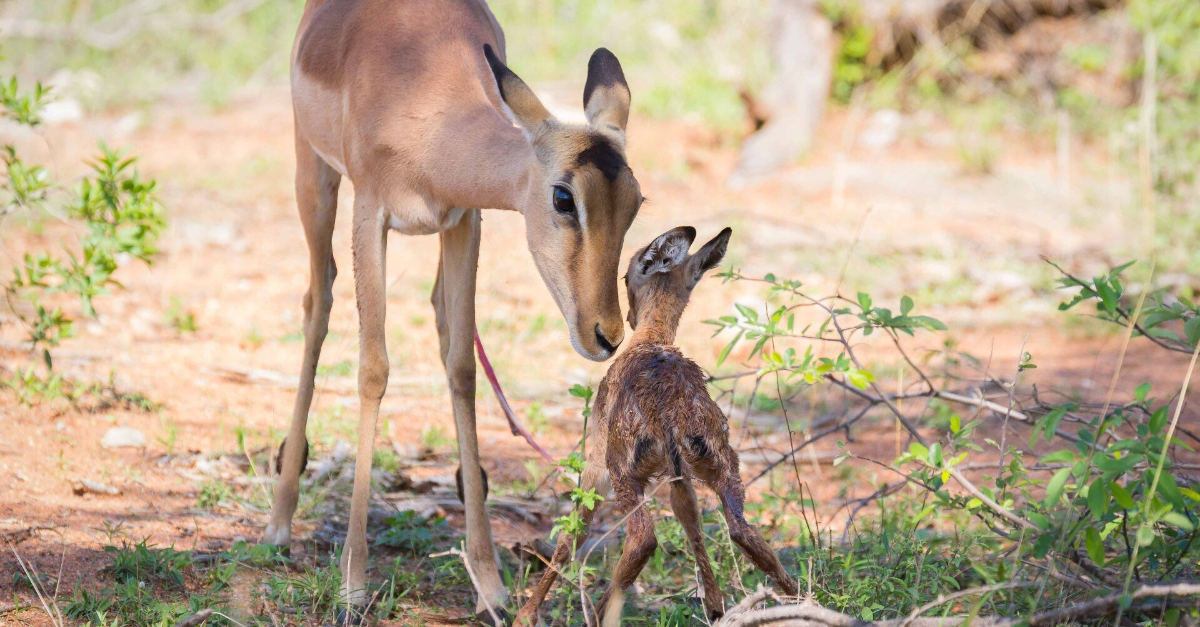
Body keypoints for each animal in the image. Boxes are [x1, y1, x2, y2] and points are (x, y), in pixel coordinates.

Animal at [516, 227, 796, 619]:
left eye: (624, 275)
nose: (628, 318)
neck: (651, 338)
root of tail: (670, 417)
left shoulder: (596, 454)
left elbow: (574, 530)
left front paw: (525, 615)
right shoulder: (680, 474)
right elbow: (690, 519)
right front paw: (714, 605)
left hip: (624, 466)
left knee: (642, 537)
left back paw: (597, 614)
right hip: (721, 460)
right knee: (743, 530)